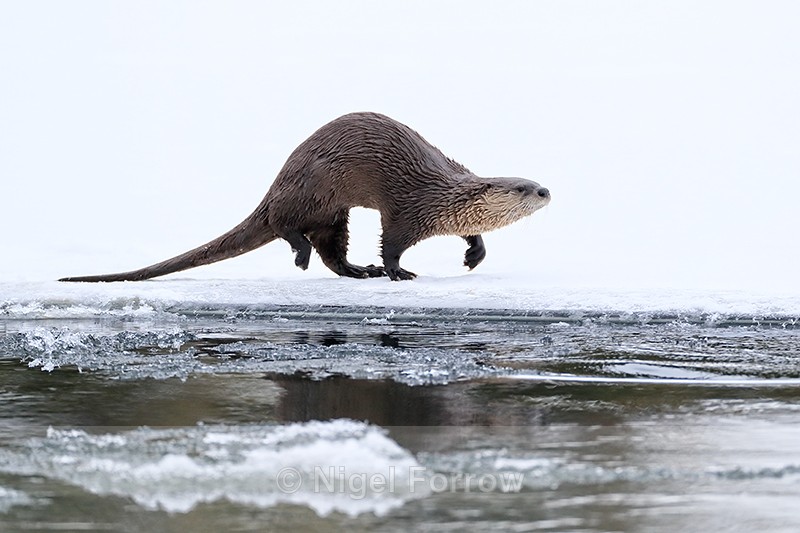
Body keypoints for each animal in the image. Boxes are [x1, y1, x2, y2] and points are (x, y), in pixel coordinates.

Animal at [59, 112, 550, 282]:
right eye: (522, 188)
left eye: (534, 181)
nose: (546, 190)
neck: (444, 198)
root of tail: (279, 179)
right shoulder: (408, 211)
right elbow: (392, 242)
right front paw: (397, 272)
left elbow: (473, 236)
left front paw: (474, 255)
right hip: (313, 189)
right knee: (283, 224)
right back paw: (303, 254)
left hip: (333, 213)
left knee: (332, 251)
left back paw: (359, 271)